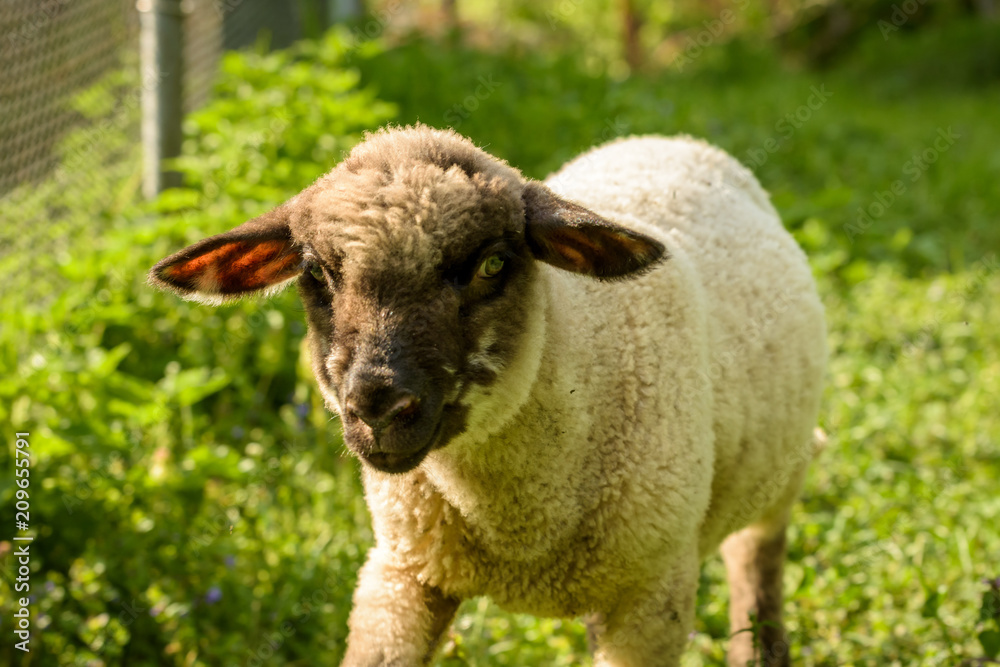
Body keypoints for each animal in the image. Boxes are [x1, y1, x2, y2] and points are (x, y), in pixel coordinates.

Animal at [149, 124, 826, 667]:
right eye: (315, 272)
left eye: (493, 264)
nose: (377, 409)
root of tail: (670, 139)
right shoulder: (403, 573)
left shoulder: (651, 600)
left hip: (781, 480)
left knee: (757, 573)